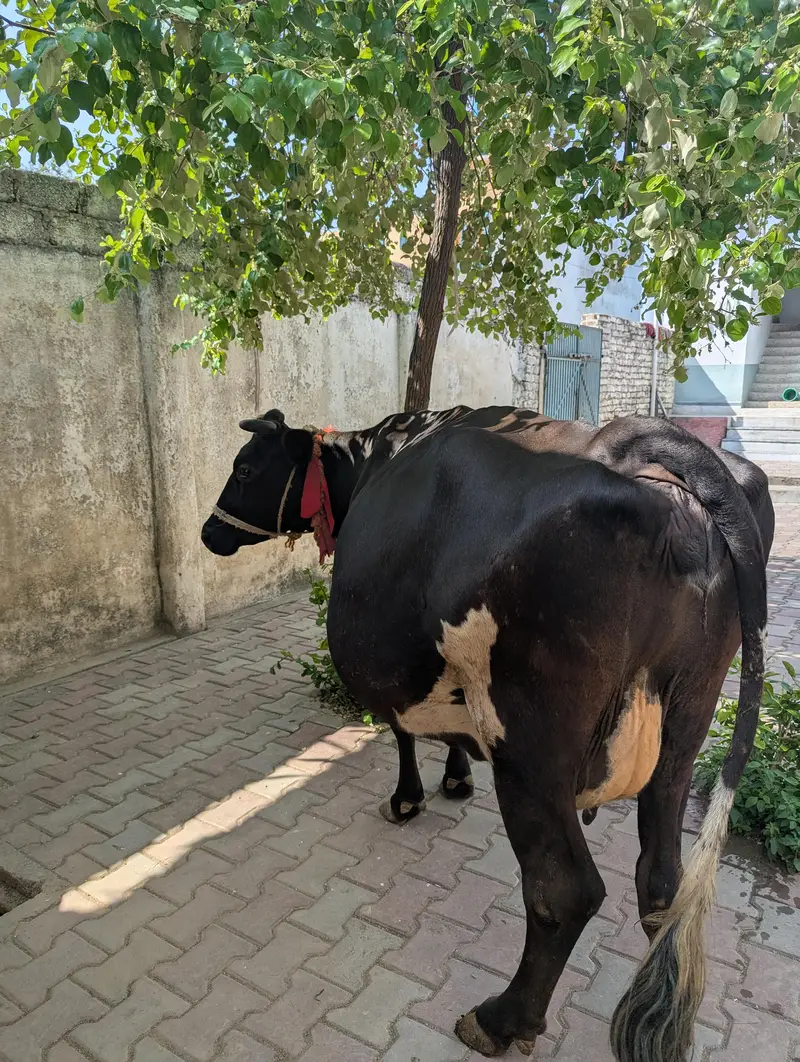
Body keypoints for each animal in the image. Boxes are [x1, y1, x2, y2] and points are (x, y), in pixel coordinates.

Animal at [201, 405, 773, 1061]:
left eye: (244, 468)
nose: (208, 534)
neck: (372, 457)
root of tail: (632, 443)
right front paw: (455, 779)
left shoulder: (402, 676)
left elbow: (399, 732)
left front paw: (408, 798)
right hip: (687, 723)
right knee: (661, 876)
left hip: (531, 747)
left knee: (564, 890)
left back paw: (500, 1020)